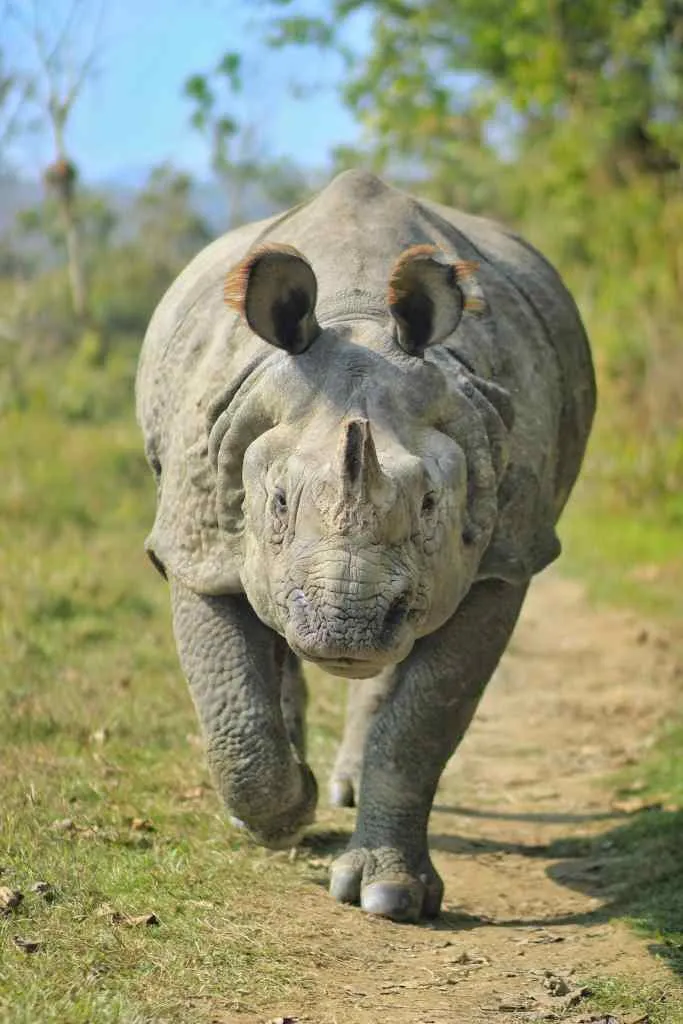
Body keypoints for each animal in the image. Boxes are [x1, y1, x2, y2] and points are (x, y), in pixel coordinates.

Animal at [136, 169, 595, 922]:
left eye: (431, 504)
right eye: (278, 504)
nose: (345, 630)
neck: (360, 321)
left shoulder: (505, 558)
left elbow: (423, 723)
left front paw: (387, 895)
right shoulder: (196, 536)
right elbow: (232, 708)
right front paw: (287, 809)